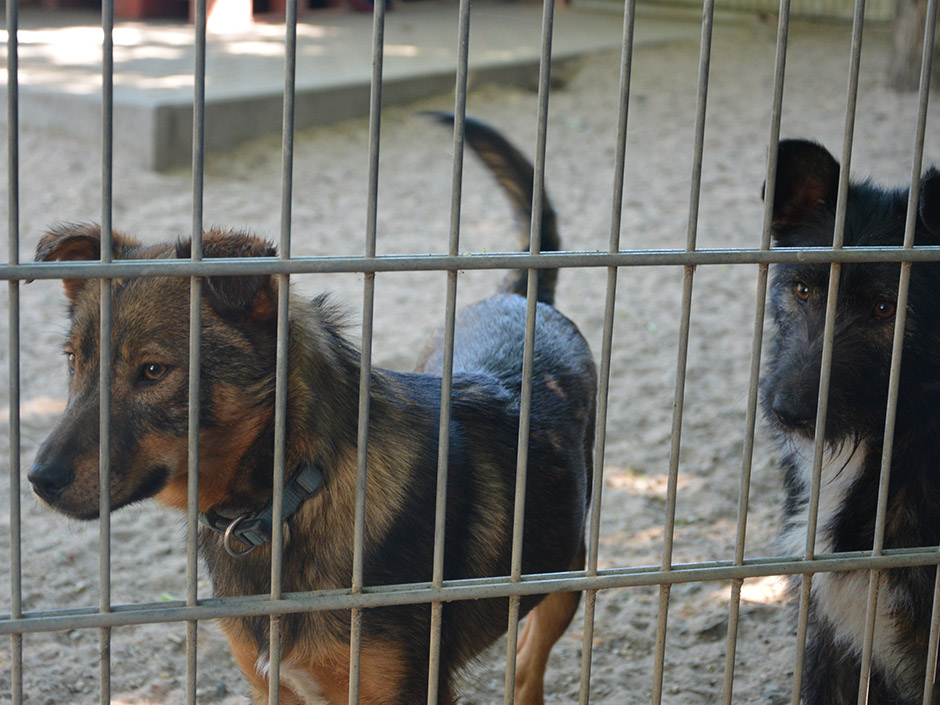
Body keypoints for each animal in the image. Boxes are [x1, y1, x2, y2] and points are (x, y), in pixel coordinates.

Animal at [29, 115, 596, 704]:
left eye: (154, 371)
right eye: (73, 361)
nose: (38, 479)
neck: (291, 495)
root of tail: (526, 295)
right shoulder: (272, 685)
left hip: (567, 573)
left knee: (529, 663)